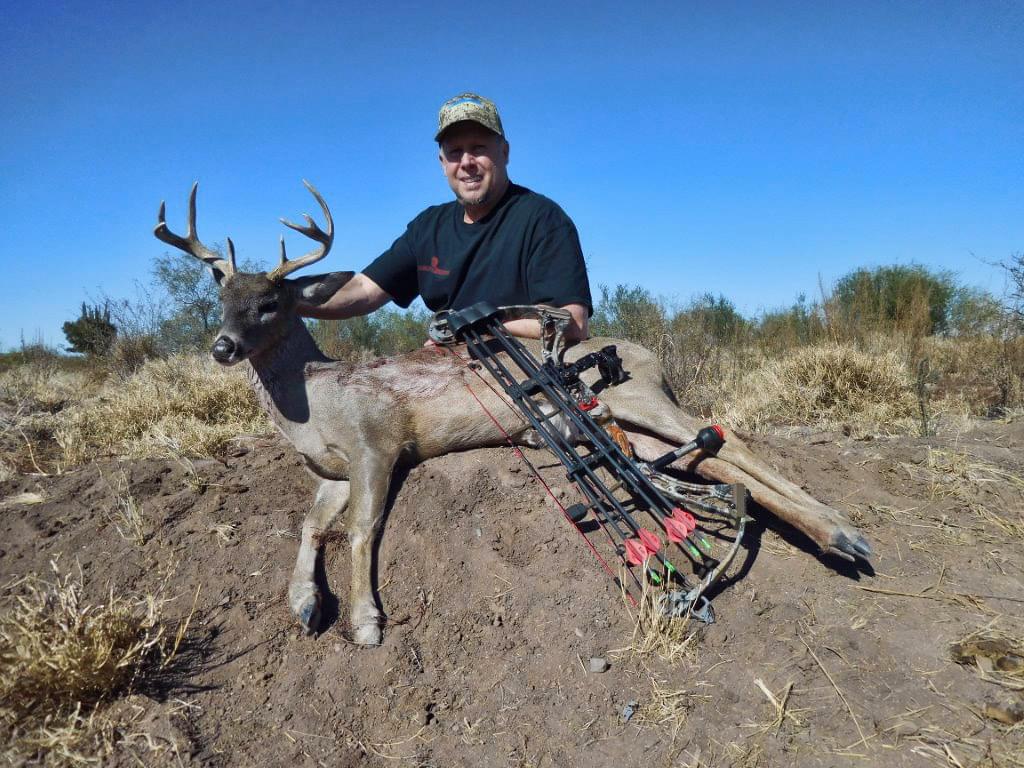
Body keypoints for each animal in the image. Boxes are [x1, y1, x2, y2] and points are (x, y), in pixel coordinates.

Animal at [154, 182, 873, 646]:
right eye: (221, 298)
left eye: (270, 303)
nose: (222, 346)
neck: (316, 400)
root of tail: (646, 351)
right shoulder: (327, 470)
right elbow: (309, 525)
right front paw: (305, 605)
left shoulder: (377, 445)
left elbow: (361, 529)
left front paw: (365, 621)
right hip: (622, 430)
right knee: (711, 464)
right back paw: (832, 535)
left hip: (635, 397)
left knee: (731, 440)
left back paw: (848, 537)